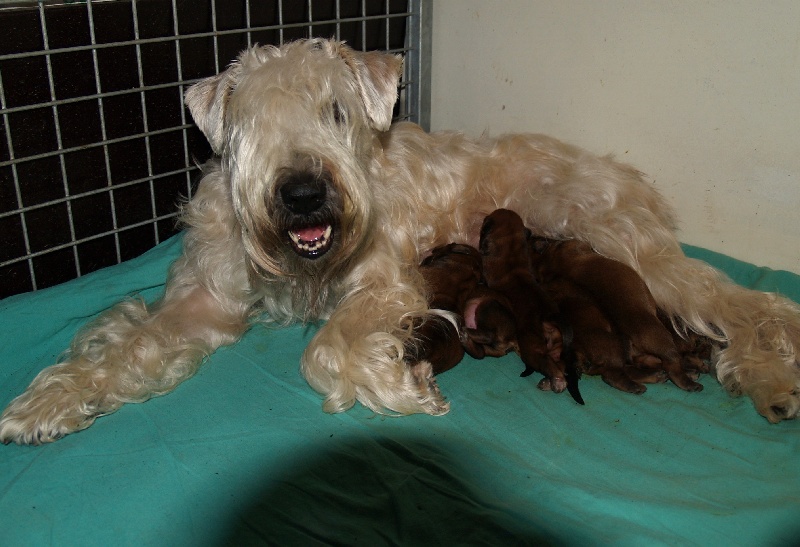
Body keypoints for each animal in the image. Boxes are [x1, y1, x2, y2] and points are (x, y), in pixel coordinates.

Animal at [476, 209, 580, 402]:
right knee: (559, 363)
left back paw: (557, 382)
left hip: (532, 347)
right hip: (558, 347)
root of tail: (550, 316)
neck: (511, 253)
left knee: (548, 365)